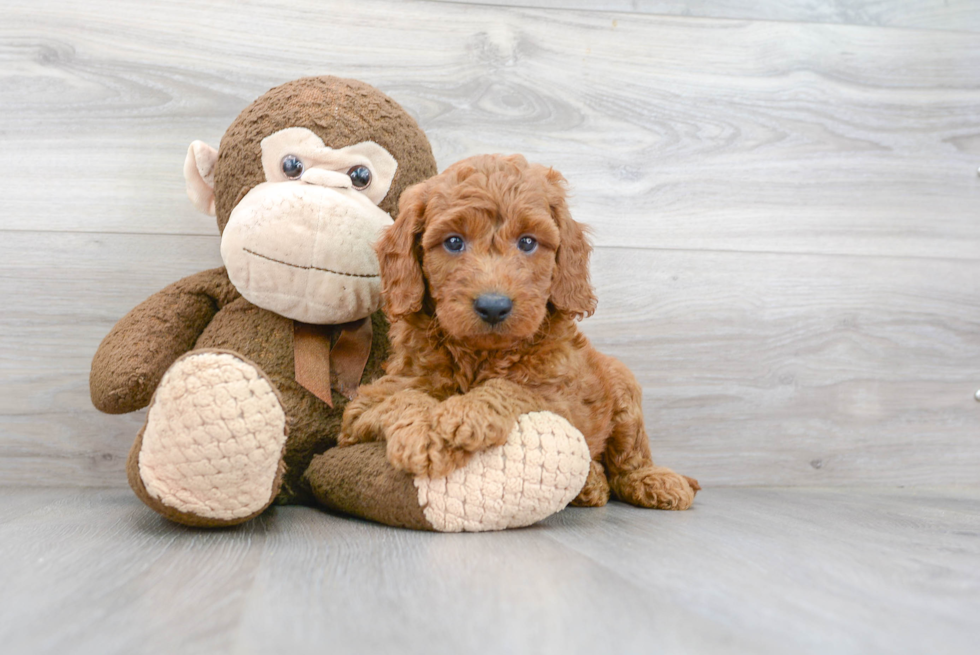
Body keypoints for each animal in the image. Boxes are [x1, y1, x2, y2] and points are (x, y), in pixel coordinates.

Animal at [340, 155, 700, 512]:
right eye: (454, 242)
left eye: (527, 242)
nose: (493, 306)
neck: (479, 355)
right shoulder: (363, 409)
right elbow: (403, 398)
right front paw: (423, 435)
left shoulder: (561, 398)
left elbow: (511, 388)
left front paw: (463, 415)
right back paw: (592, 484)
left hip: (622, 385)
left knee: (628, 457)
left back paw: (651, 481)